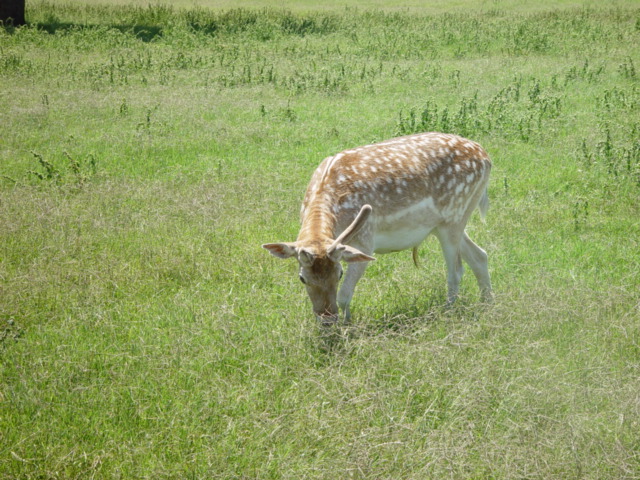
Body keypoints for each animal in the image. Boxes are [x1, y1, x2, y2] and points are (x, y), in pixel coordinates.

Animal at [262, 132, 492, 322]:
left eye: (339, 273)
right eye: (302, 278)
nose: (327, 319)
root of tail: (486, 157)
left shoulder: (365, 242)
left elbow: (344, 295)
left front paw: (347, 327)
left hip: (454, 215)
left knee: (457, 269)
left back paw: (448, 311)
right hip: (447, 222)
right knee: (480, 254)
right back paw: (487, 303)